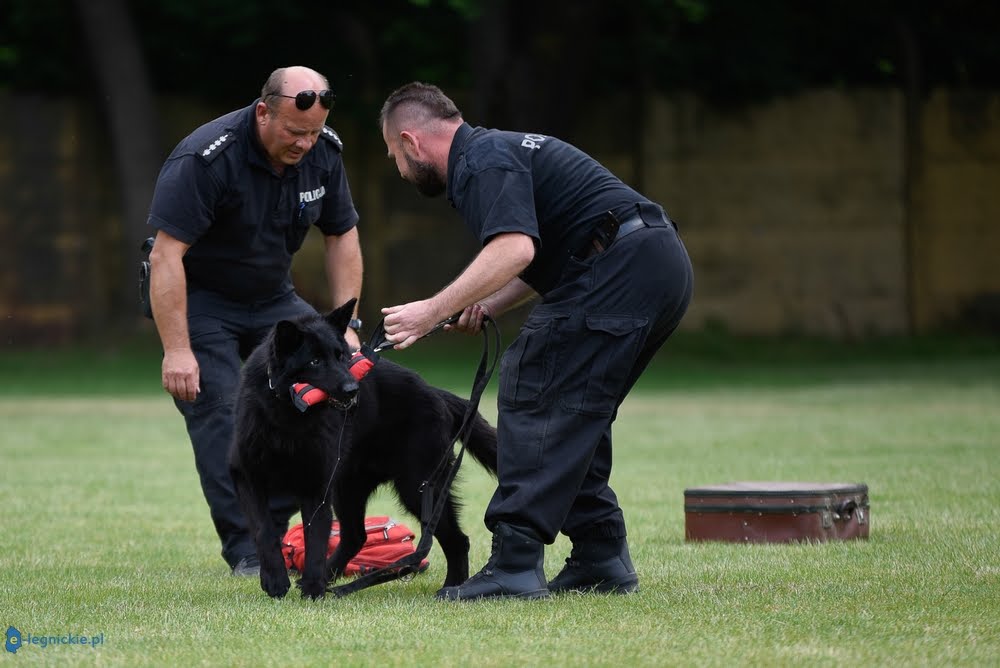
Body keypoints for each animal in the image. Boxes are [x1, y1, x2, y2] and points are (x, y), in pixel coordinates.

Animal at [229, 298, 498, 600]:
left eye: (341, 357)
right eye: (314, 361)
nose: (352, 389)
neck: (289, 415)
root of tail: (436, 392)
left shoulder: (317, 488)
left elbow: (316, 537)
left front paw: (312, 589)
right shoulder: (248, 478)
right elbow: (264, 530)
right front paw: (276, 580)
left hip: (416, 487)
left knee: (457, 539)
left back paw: (452, 587)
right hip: (351, 488)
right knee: (356, 535)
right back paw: (331, 578)